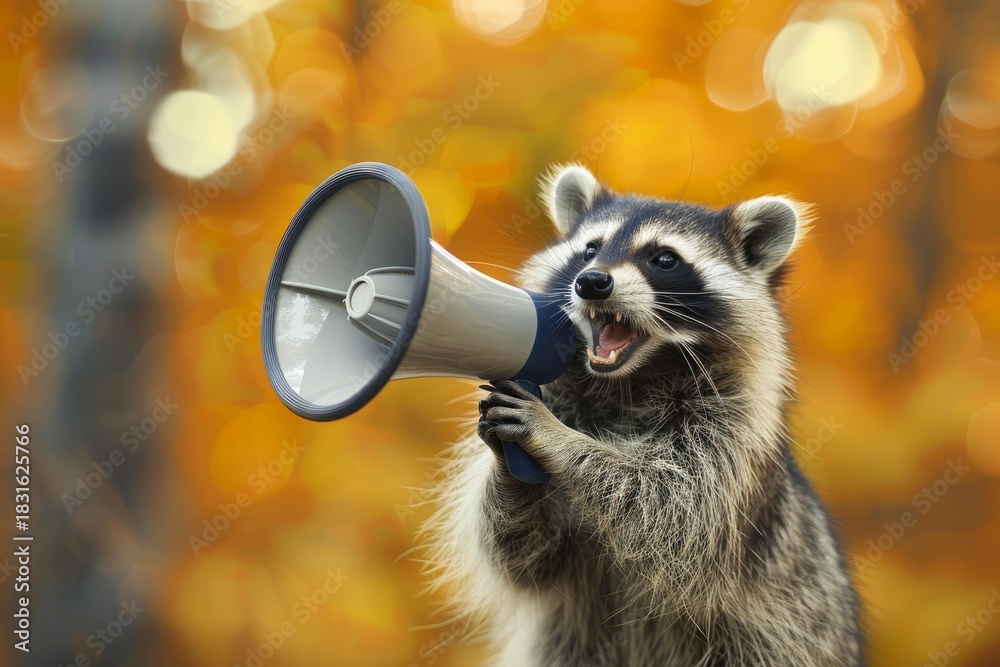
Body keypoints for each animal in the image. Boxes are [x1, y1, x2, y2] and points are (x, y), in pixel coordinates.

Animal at [421, 165, 865, 666]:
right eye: (590, 249)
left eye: (664, 259)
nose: (591, 281)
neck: (632, 379)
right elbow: (523, 553)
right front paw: (509, 469)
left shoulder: (731, 445)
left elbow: (670, 508)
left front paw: (556, 440)